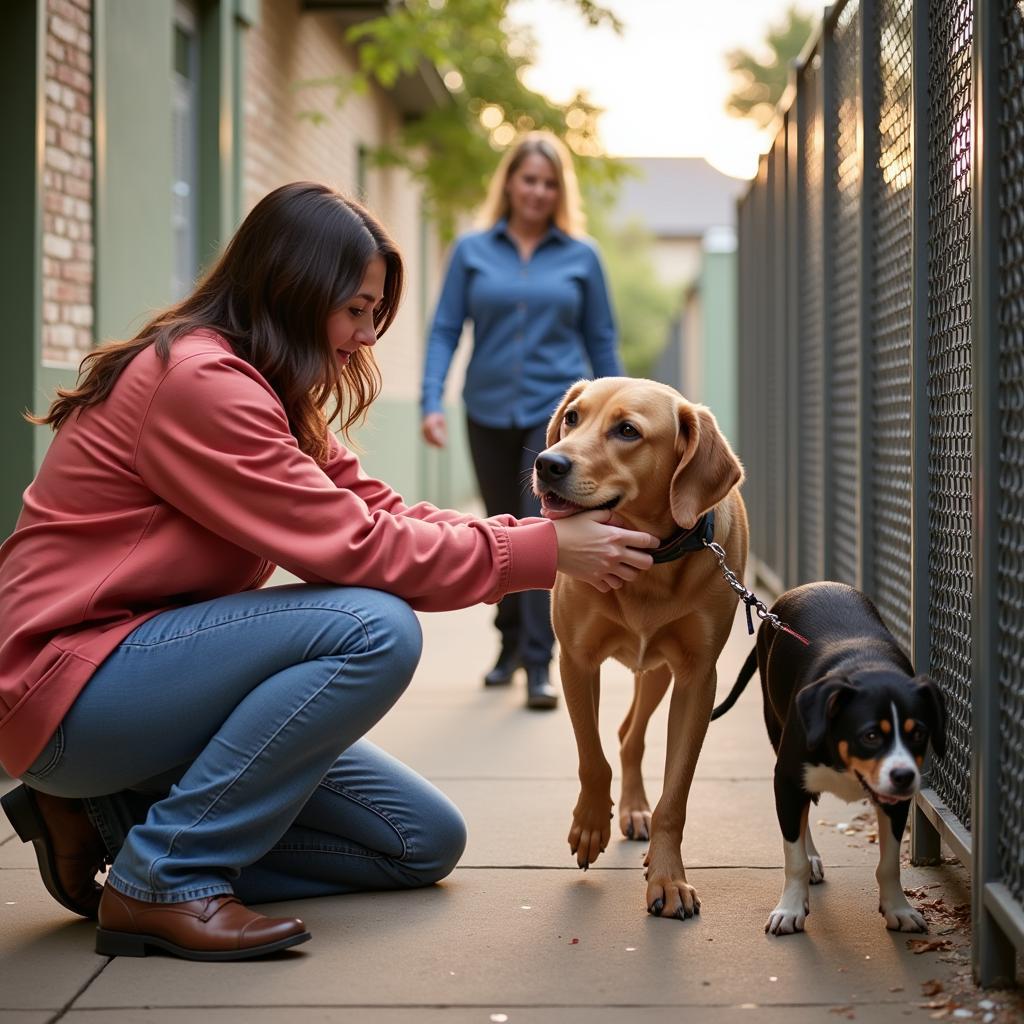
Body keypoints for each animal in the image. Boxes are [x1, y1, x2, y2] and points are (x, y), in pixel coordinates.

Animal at [532, 378, 749, 921]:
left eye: (627, 431)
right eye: (572, 417)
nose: (547, 463)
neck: (648, 557)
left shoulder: (698, 679)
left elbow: (676, 794)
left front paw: (668, 878)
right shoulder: (576, 660)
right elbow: (592, 756)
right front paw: (591, 825)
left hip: (659, 673)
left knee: (631, 735)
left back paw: (634, 808)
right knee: (621, 736)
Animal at [712, 581, 942, 933]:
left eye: (918, 733)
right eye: (870, 735)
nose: (903, 776)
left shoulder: (896, 800)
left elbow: (889, 863)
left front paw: (898, 909)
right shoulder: (787, 779)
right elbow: (793, 856)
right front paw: (790, 908)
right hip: (775, 728)